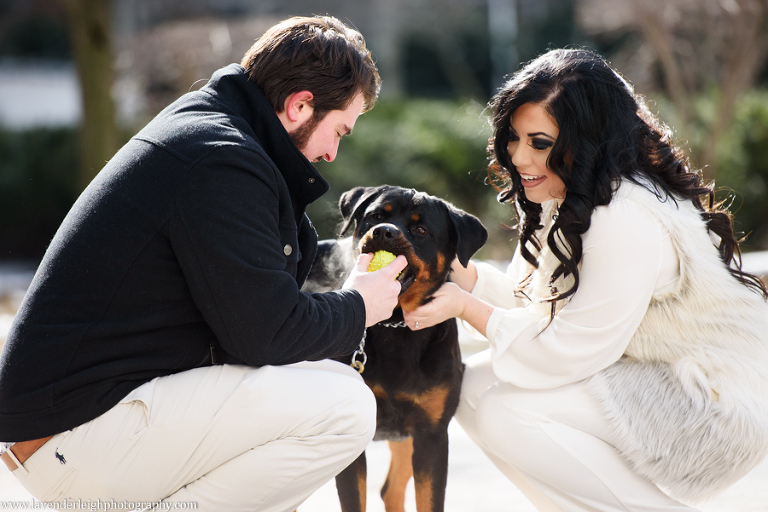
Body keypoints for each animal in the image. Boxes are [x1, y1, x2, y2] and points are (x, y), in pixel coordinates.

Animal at [302, 185, 486, 512]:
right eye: (376, 216)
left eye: (420, 230)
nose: (384, 231)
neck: (394, 326)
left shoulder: (432, 434)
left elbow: (429, 500)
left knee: (391, 489)